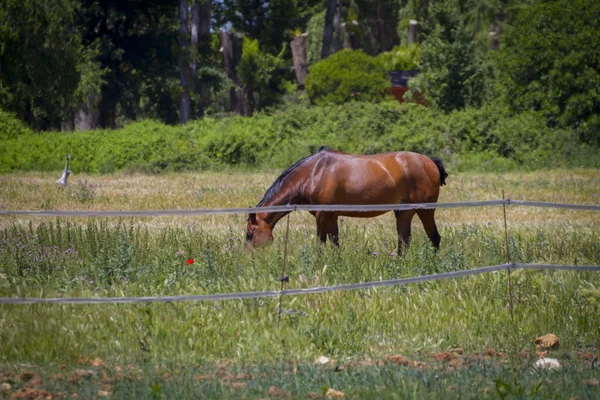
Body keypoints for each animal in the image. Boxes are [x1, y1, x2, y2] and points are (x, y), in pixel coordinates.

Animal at [244, 147, 446, 253]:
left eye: (250, 234)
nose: (248, 260)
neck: (313, 173)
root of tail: (430, 162)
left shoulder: (322, 216)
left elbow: (321, 243)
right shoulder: (332, 217)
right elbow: (335, 244)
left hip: (425, 210)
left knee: (434, 238)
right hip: (404, 213)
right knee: (404, 242)